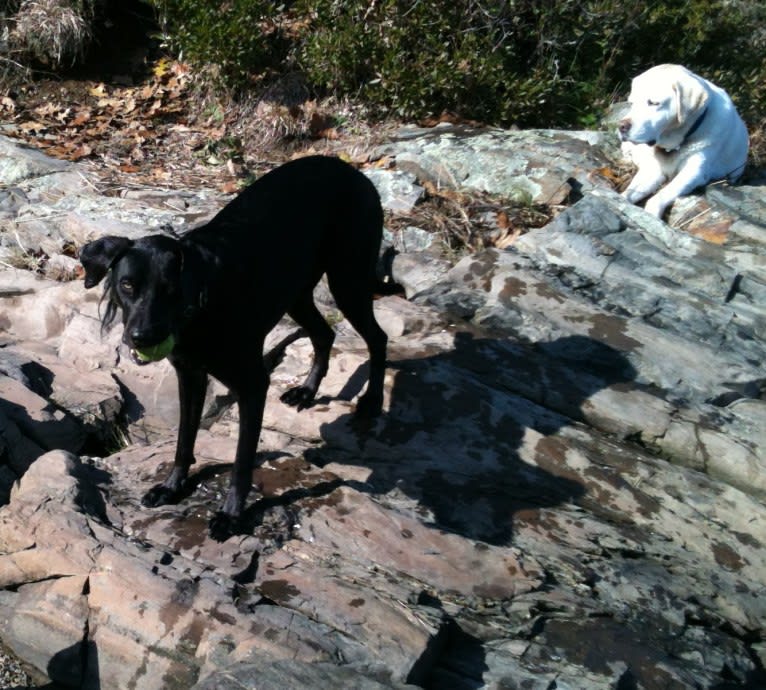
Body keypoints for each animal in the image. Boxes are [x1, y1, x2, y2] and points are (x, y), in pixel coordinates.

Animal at [82, 156, 390, 536]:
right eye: (126, 285)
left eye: (171, 290)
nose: (141, 337)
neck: (201, 309)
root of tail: (349, 168)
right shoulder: (190, 376)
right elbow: (184, 440)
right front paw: (172, 487)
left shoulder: (253, 386)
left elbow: (242, 462)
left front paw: (231, 514)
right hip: (297, 294)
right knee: (325, 334)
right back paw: (307, 390)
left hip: (349, 280)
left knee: (378, 337)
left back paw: (372, 401)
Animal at [616, 63, 752, 218]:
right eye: (631, 103)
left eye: (653, 103)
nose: (621, 127)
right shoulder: (654, 169)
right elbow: (629, 193)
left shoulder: (693, 173)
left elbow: (659, 197)